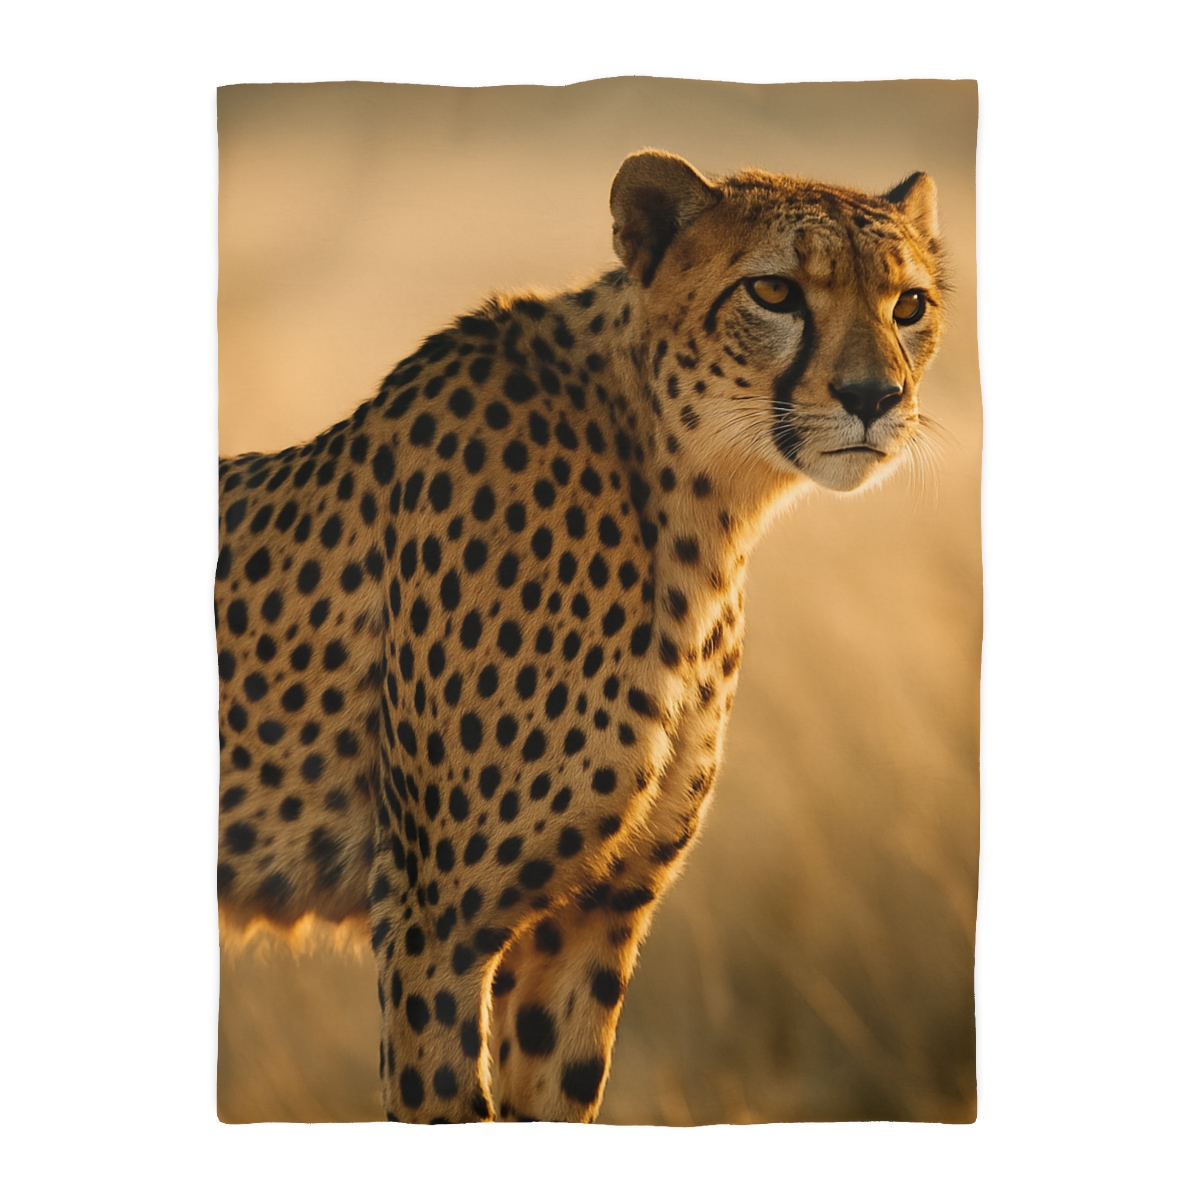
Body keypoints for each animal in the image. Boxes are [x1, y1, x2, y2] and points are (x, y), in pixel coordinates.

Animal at [215, 149, 947, 1123]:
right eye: (775, 291)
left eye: (910, 303)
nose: (874, 398)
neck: (688, 501)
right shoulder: (434, 921)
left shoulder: (594, 919)